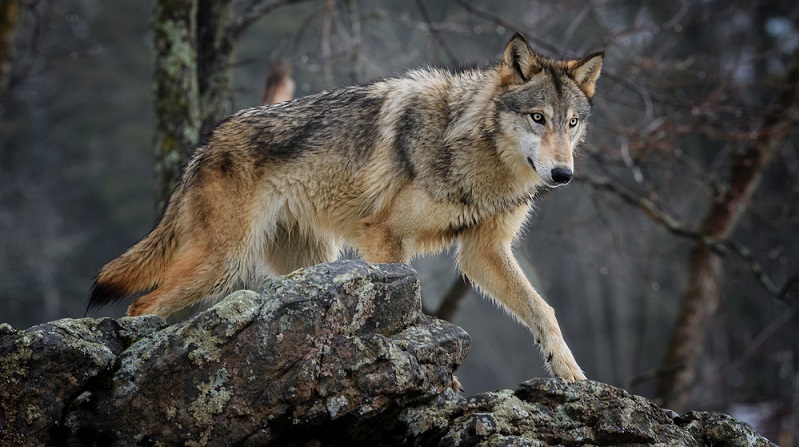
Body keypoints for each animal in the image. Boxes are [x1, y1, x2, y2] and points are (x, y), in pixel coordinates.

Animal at [90, 33, 604, 382]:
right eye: (537, 118)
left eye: (571, 123)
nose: (563, 174)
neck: (471, 149)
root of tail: (206, 143)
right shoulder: (385, 237)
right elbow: (411, 308)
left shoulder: (483, 251)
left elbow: (543, 310)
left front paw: (570, 373)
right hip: (221, 263)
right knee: (140, 305)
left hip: (312, 266)